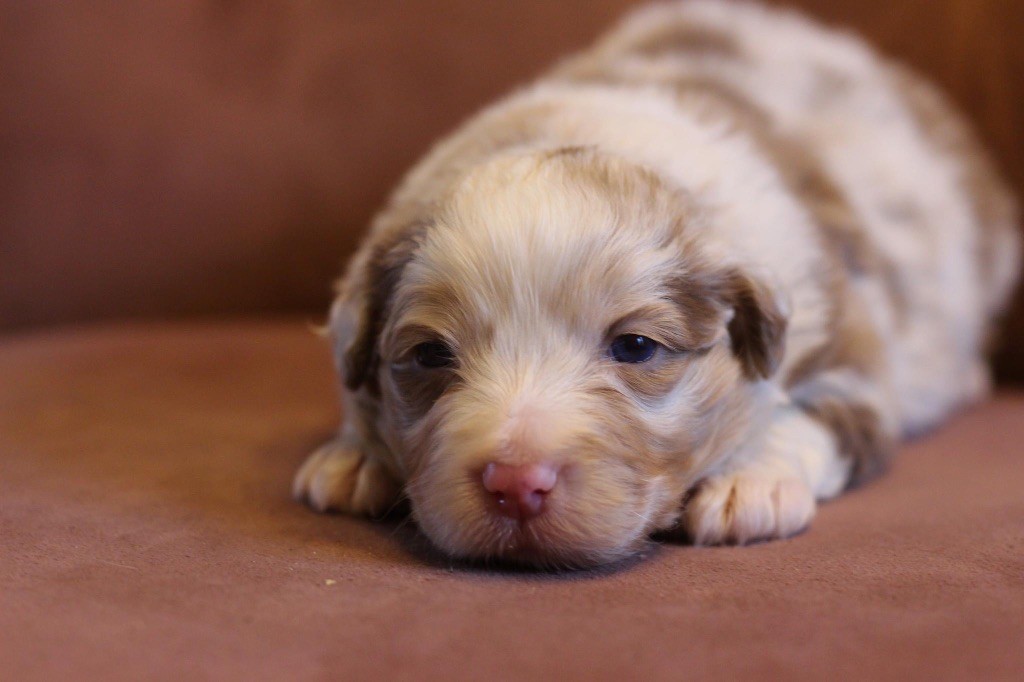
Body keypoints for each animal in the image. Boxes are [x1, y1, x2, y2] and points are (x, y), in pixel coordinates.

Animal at [292, 0, 1019, 565]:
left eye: (636, 347)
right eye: (429, 355)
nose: (517, 484)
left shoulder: (849, 345)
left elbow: (814, 415)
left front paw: (750, 483)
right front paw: (354, 457)